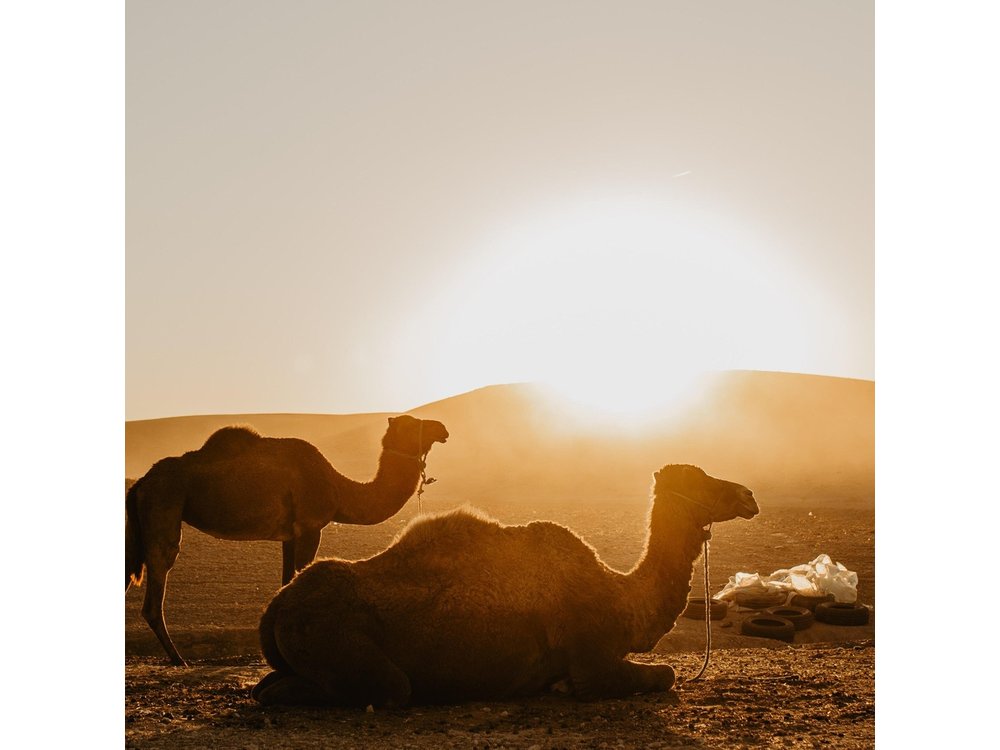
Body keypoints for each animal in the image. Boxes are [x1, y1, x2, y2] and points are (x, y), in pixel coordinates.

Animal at [125, 414, 449, 666]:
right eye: (413, 424)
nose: (442, 428)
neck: (340, 489)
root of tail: (142, 482)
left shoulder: (290, 535)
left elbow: (285, 581)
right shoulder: (310, 527)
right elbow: (299, 575)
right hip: (164, 505)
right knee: (158, 578)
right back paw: (178, 659)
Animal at [252, 463, 758, 707]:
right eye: (700, 478)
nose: (748, 494)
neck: (621, 597)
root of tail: (277, 606)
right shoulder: (592, 661)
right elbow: (664, 674)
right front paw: (561, 688)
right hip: (349, 649)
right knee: (389, 688)